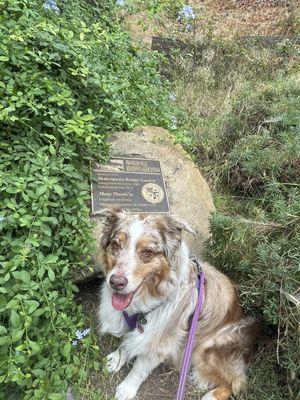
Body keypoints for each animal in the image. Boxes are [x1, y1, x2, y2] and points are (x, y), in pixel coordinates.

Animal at [97, 206, 258, 400]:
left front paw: (127, 389)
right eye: (115, 245)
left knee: (237, 381)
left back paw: (212, 395)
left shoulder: (159, 341)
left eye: (147, 252)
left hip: (208, 349)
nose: (115, 282)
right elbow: (126, 343)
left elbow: (139, 369)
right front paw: (117, 358)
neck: (149, 298)